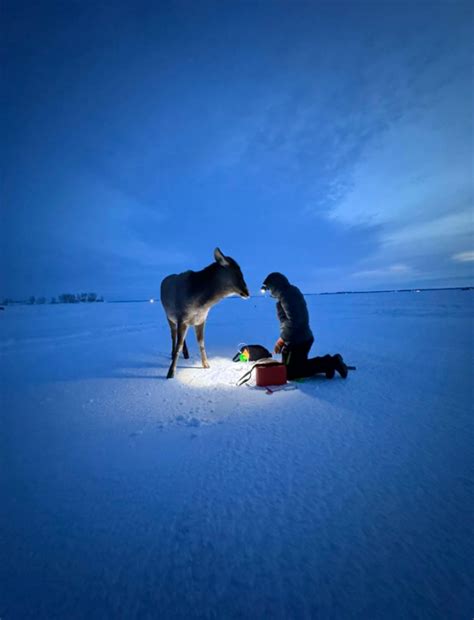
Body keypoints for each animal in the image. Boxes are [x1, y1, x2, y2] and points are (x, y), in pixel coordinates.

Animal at [160, 247, 250, 378]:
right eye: (238, 274)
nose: (247, 292)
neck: (202, 304)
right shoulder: (182, 318)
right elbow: (178, 346)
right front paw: (171, 372)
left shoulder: (200, 320)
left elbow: (201, 343)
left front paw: (206, 364)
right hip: (169, 316)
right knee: (173, 335)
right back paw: (173, 354)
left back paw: (186, 354)